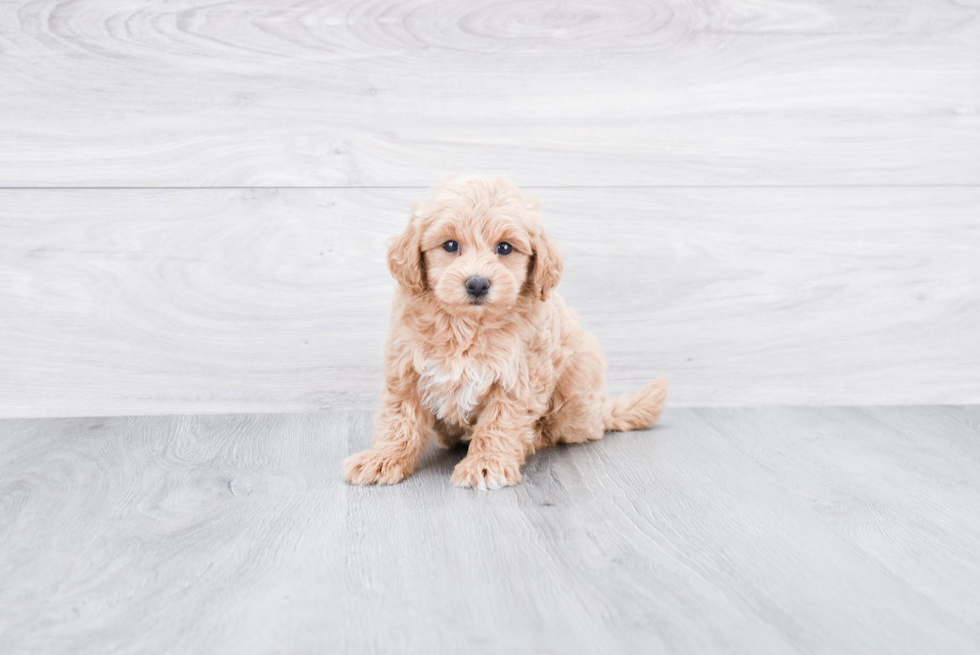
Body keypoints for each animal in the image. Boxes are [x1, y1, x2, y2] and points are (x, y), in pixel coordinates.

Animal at [342, 177, 668, 490]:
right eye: (450, 245)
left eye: (505, 248)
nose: (477, 284)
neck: (468, 326)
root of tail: (601, 410)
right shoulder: (406, 367)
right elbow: (399, 419)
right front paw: (382, 459)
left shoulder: (519, 376)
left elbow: (500, 423)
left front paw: (486, 464)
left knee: (558, 431)